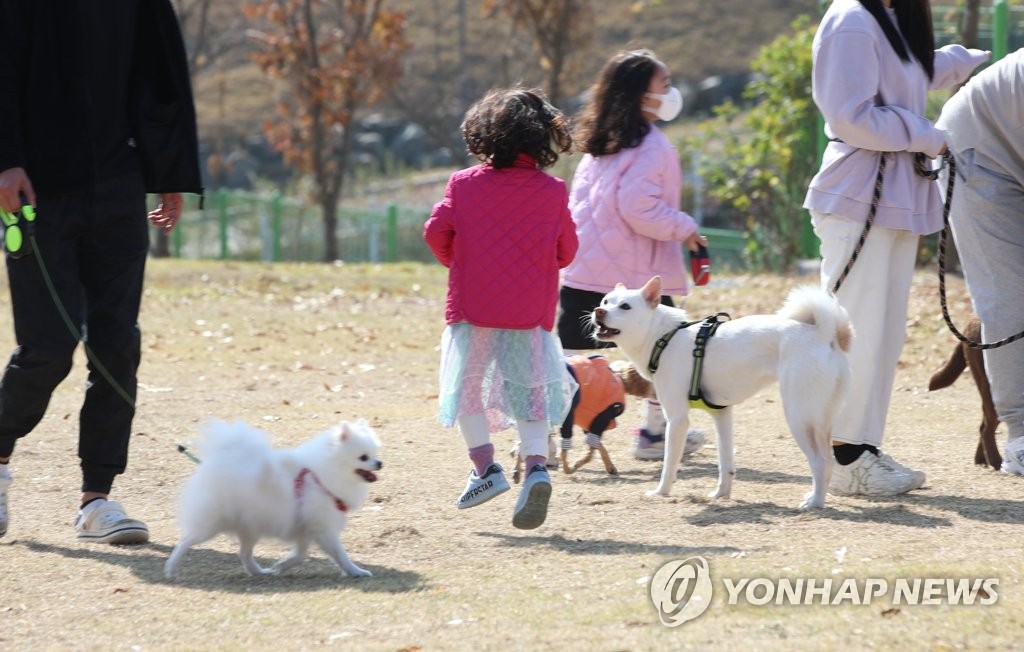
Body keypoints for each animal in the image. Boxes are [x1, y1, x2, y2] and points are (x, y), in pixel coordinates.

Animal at [165, 421, 382, 581]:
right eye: (363, 457)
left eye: (375, 454)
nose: (380, 463)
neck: (322, 473)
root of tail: (219, 457)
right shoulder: (323, 527)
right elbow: (340, 554)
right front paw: (356, 571)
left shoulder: (306, 527)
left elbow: (300, 555)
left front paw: (281, 566)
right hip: (213, 524)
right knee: (185, 541)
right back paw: (171, 569)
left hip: (249, 527)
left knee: (244, 553)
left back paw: (258, 571)